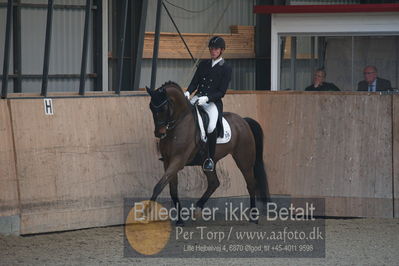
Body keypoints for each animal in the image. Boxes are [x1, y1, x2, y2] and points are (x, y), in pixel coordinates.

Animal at [145, 81, 270, 222]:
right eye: (151, 107)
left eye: (164, 108)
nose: (159, 133)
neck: (180, 123)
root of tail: (243, 120)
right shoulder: (167, 161)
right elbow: (172, 189)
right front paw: (180, 219)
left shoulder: (178, 160)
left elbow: (159, 186)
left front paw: (145, 212)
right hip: (209, 161)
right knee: (214, 183)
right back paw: (197, 207)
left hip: (244, 160)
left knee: (251, 184)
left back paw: (254, 216)